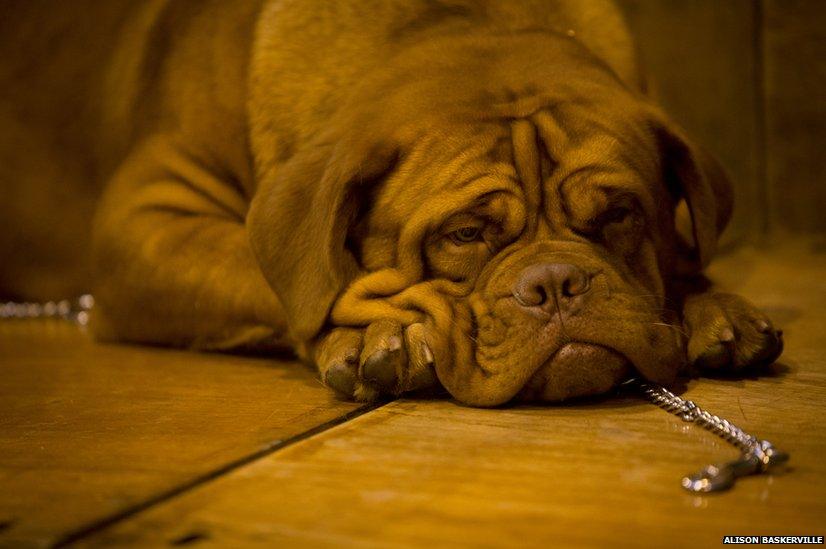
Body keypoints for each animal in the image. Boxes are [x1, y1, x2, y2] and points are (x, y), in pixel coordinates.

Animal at [1, 0, 780, 402]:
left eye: (620, 214)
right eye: (464, 234)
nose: (556, 282)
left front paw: (714, 304)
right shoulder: (146, 219)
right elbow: (288, 275)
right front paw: (387, 332)